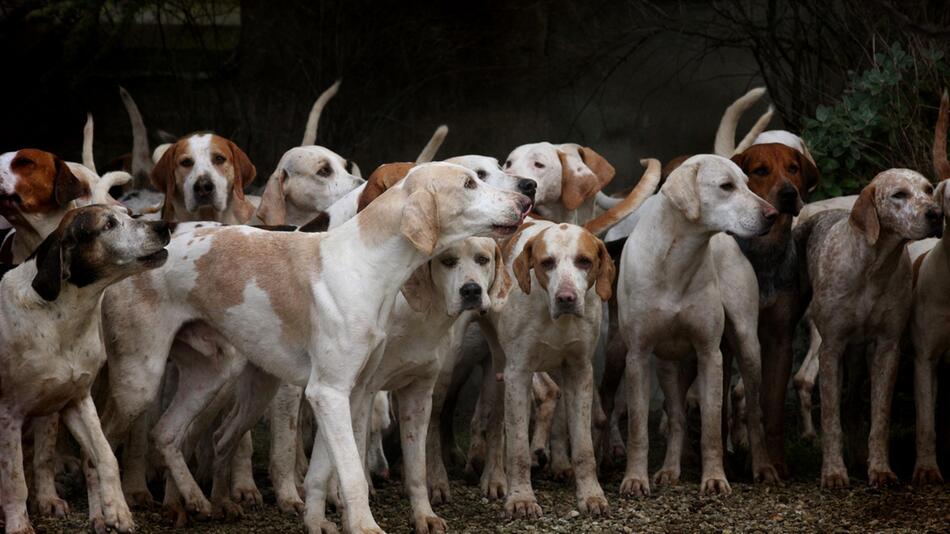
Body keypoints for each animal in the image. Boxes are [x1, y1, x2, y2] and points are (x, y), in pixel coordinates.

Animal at [0, 205, 171, 534]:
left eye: (129, 213)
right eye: (108, 225)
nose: (164, 226)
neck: (61, 317)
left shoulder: (77, 400)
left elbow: (105, 456)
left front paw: (116, 510)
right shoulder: (8, 414)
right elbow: (14, 481)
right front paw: (18, 525)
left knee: (44, 458)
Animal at [616, 155, 780, 498]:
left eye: (748, 183)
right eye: (726, 186)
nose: (773, 214)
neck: (676, 259)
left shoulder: (710, 354)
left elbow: (711, 427)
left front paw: (715, 478)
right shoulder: (637, 356)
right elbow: (638, 428)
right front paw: (635, 479)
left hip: (748, 347)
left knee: (754, 413)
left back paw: (763, 467)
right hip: (667, 365)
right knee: (677, 416)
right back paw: (669, 470)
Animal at [800, 169, 940, 490]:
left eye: (929, 190)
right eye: (899, 194)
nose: (937, 214)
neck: (873, 267)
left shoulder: (887, 348)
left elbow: (880, 417)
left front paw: (879, 469)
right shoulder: (831, 349)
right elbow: (830, 418)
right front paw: (833, 472)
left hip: (859, 358)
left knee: (852, 405)